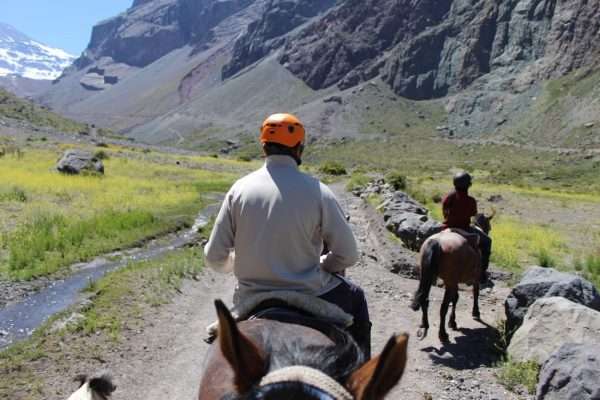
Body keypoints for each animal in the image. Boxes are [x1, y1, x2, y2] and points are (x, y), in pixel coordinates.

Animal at [410, 214, 494, 342]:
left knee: (424, 299)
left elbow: (455, 298)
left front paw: (452, 322)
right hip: (449, 281)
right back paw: (442, 334)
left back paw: (425, 325)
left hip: (427, 276)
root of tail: (436, 242)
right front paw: (475, 312)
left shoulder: (453, 281)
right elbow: (475, 293)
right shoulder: (472, 279)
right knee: (443, 307)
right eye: (489, 227)